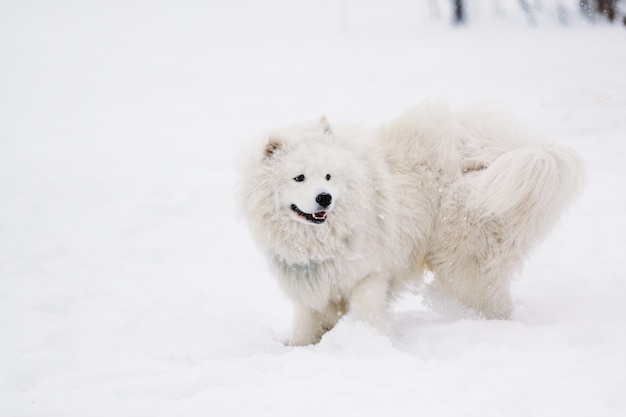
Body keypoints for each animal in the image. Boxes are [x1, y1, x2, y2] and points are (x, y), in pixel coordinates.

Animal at [236, 101, 584, 344]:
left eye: (328, 176)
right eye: (299, 177)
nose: (325, 198)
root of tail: (503, 151)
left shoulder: (369, 277)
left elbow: (368, 314)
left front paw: (371, 344)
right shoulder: (313, 291)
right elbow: (305, 329)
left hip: (463, 263)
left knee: (491, 301)